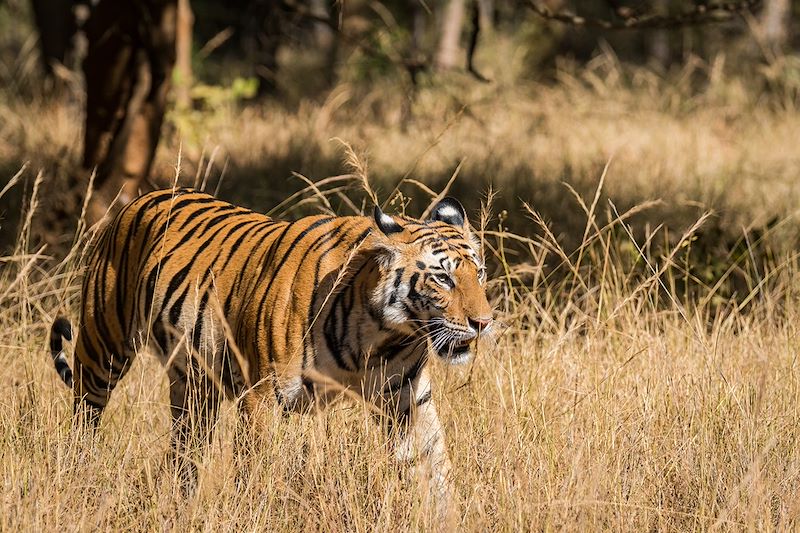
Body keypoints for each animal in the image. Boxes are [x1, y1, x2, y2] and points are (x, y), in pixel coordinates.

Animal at [48, 188, 494, 516]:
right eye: (442, 279)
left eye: (479, 273)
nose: (484, 322)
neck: (384, 334)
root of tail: (140, 198)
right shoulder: (262, 395)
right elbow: (254, 468)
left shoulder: (406, 396)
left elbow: (435, 466)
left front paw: (449, 518)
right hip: (103, 345)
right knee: (84, 417)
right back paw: (78, 477)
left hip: (195, 387)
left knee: (185, 450)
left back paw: (180, 503)